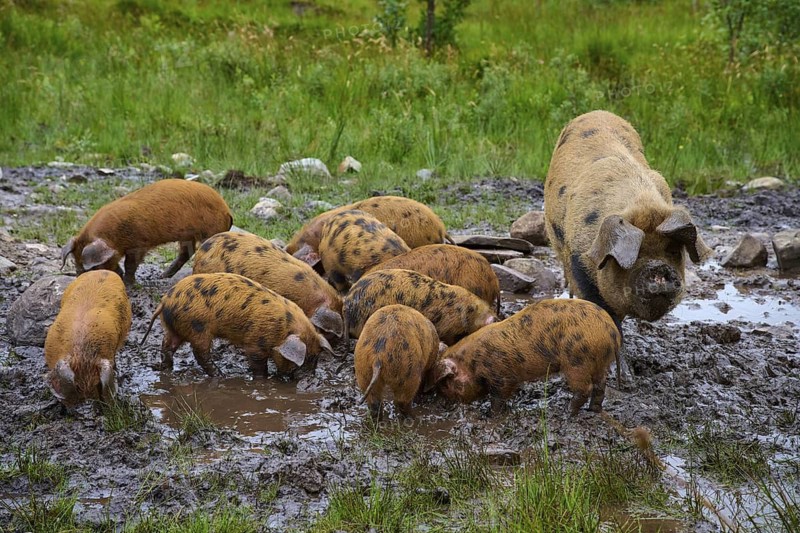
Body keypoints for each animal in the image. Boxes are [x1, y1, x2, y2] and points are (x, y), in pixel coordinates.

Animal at [61, 179, 233, 285]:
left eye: (94, 267)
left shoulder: (139, 244)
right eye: (75, 261)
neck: (114, 237)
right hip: (187, 236)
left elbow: (130, 264)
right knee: (185, 253)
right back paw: (163, 276)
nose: (79, 277)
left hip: (209, 231)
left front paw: (128, 283)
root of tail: (227, 211)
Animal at [140, 273, 334, 376]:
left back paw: (165, 368)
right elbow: (257, 364)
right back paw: (220, 375)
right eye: (304, 359)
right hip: (198, 328)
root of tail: (166, 300)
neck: (282, 329)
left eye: (316, 358)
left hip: (176, 328)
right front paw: (264, 378)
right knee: (200, 353)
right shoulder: (255, 343)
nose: (308, 379)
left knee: (167, 345)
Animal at [429, 299, 621, 416]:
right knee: (600, 385)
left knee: (585, 388)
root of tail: (611, 331)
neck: (472, 361)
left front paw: (492, 415)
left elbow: (498, 397)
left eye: (446, 385)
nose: (444, 405)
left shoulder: (500, 374)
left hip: (577, 360)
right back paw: (593, 410)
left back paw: (568, 411)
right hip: (598, 361)